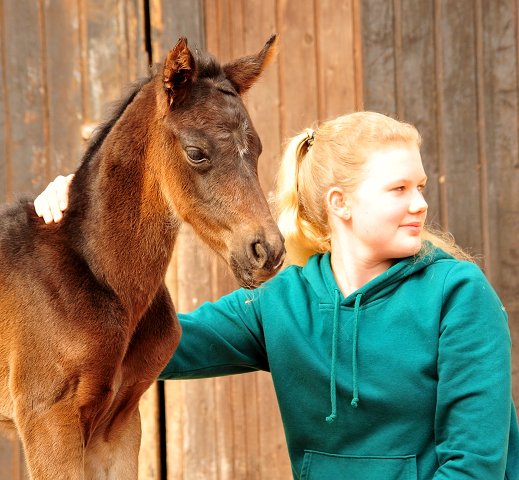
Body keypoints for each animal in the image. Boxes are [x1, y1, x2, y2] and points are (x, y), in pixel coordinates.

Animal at [0, 35, 284, 478]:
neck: (104, 280)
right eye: (196, 152)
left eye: (256, 149)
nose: (266, 251)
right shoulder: (47, 420)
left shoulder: (118, 425)